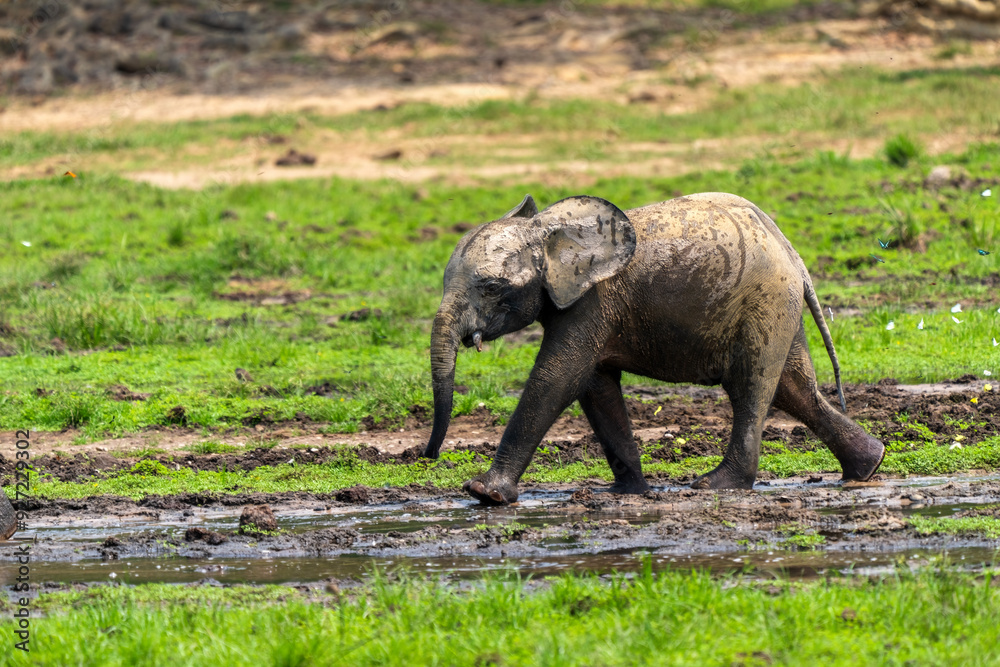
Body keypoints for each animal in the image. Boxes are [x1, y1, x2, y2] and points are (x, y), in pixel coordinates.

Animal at [423, 192, 885, 505]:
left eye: (491, 287)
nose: (428, 457)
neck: (550, 233)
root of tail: (791, 250)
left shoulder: (593, 301)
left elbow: (558, 377)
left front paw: (485, 494)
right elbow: (596, 387)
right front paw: (626, 492)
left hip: (764, 299)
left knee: (751, 386)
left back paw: (717, 485)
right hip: (777, 303)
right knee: (795, 388)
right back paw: (869, 466)